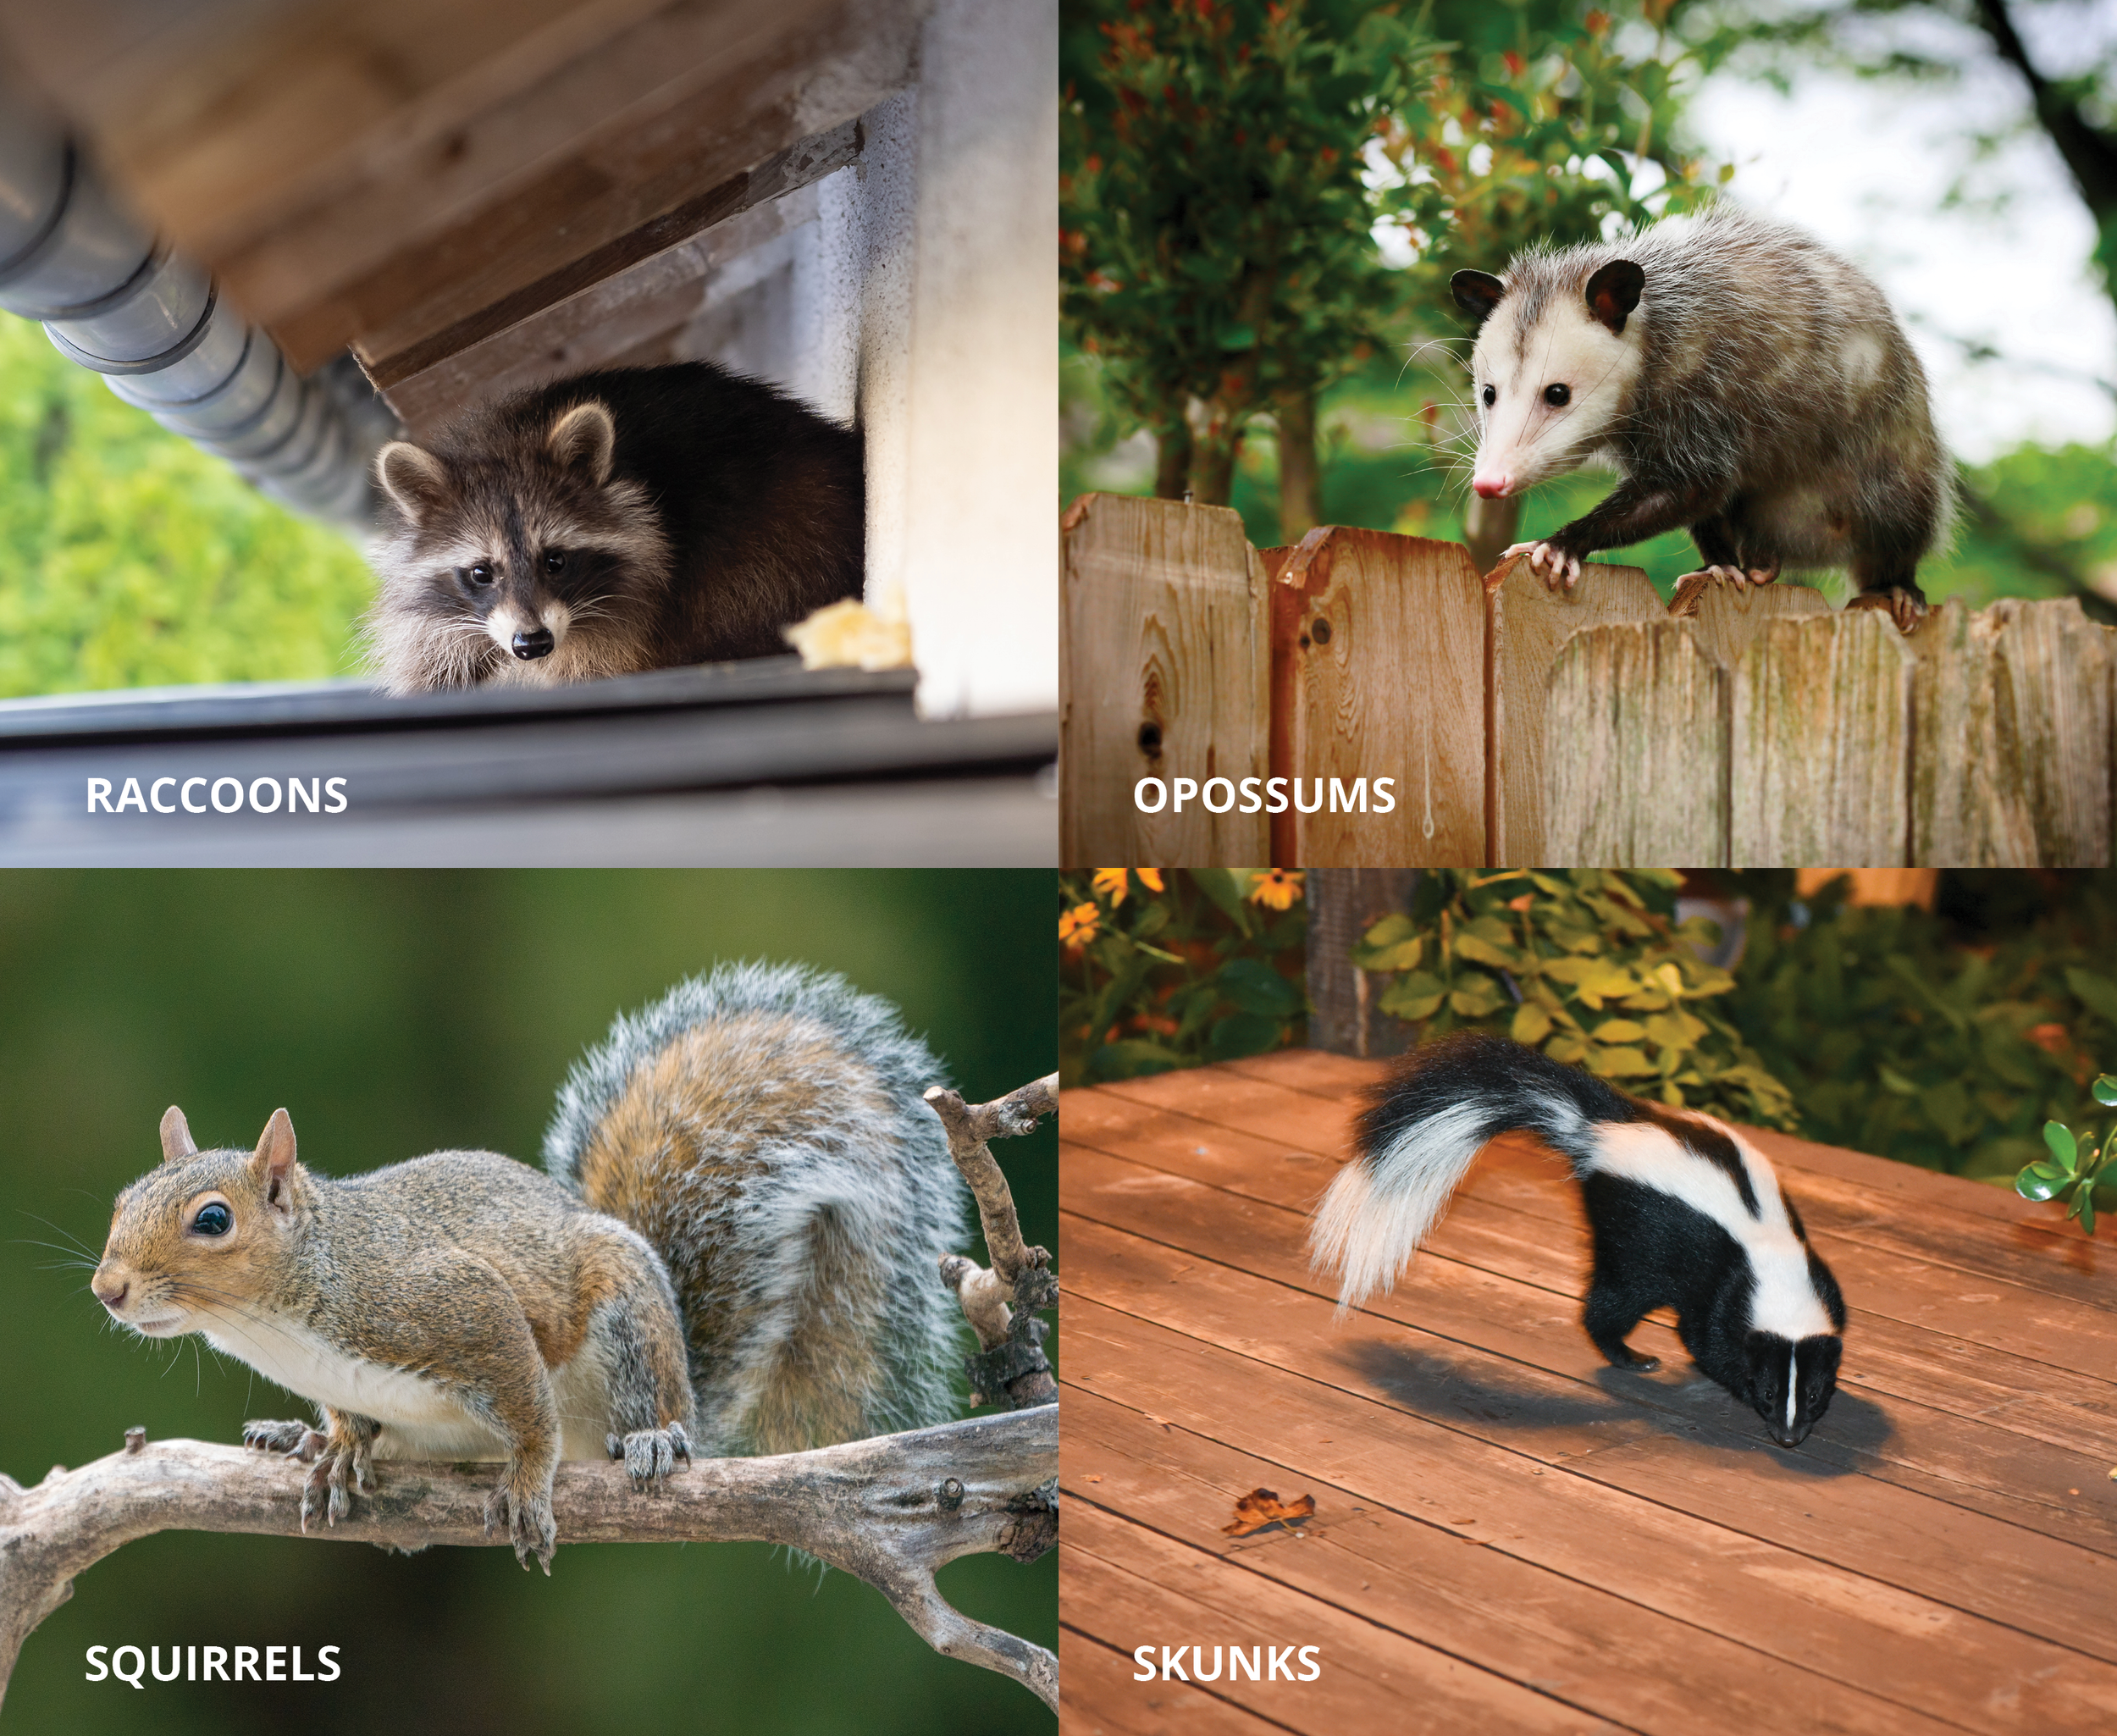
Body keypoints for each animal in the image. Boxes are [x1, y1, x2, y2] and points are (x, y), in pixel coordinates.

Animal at [89, 963, 969, 1572]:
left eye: (213, 1220)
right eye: (121, 1199)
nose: (108, 1288)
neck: (290, 1320)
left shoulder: (457, 1306)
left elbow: (528, 1409)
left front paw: (526, 1483)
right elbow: (351, 1421)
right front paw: (334, 1444)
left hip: (627, 1326)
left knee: (637, 1407)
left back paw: (653, 1439)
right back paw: (297, 1438)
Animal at [364, 362, 864, 692]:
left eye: (556, 561)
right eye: (481, 572)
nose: (532, 643)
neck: (506, 440)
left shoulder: (638, 604)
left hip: (787, 536)